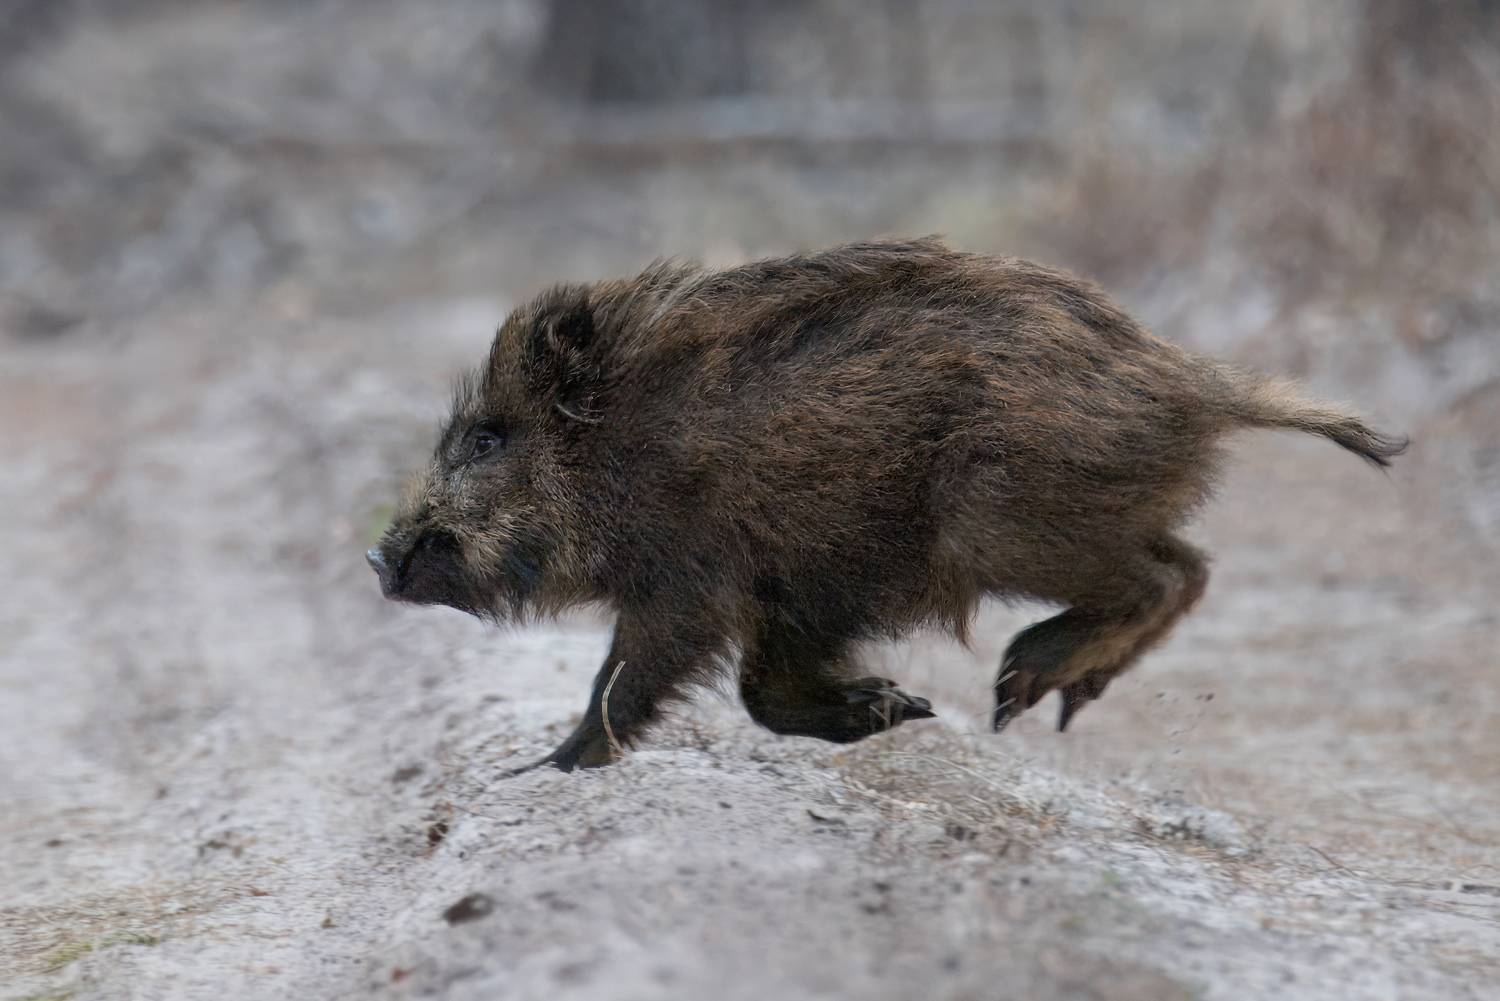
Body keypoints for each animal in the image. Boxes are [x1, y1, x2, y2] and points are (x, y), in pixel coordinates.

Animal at [366, 237, 1406, 771]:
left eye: (488, 438)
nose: (379, 557)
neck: (623, 449)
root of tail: (1195, 383)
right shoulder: (803, 596)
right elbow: (764, 692)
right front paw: (900, 709)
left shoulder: (692, 585)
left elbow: (627, 679)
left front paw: (542, 770)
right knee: (1191, 565)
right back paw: (1031, 704)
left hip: (1006, 520)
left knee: (1167, 576)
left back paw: (1016, 690)